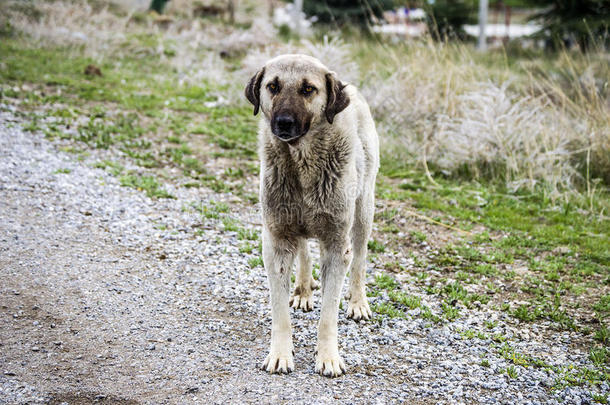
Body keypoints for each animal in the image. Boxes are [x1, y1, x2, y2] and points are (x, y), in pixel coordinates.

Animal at [245, 53, 378, 376]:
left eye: (308, 89)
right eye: (273, 86)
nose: (283, 122)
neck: (301, 163)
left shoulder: (336, 244)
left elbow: (328, 314)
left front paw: (328, 357)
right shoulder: (277, 239)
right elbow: (279, 311)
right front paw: (280, 354)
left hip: (363, 212)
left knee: (360, 260)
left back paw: (358, 302)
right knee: (304, 251)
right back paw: (304, 290)